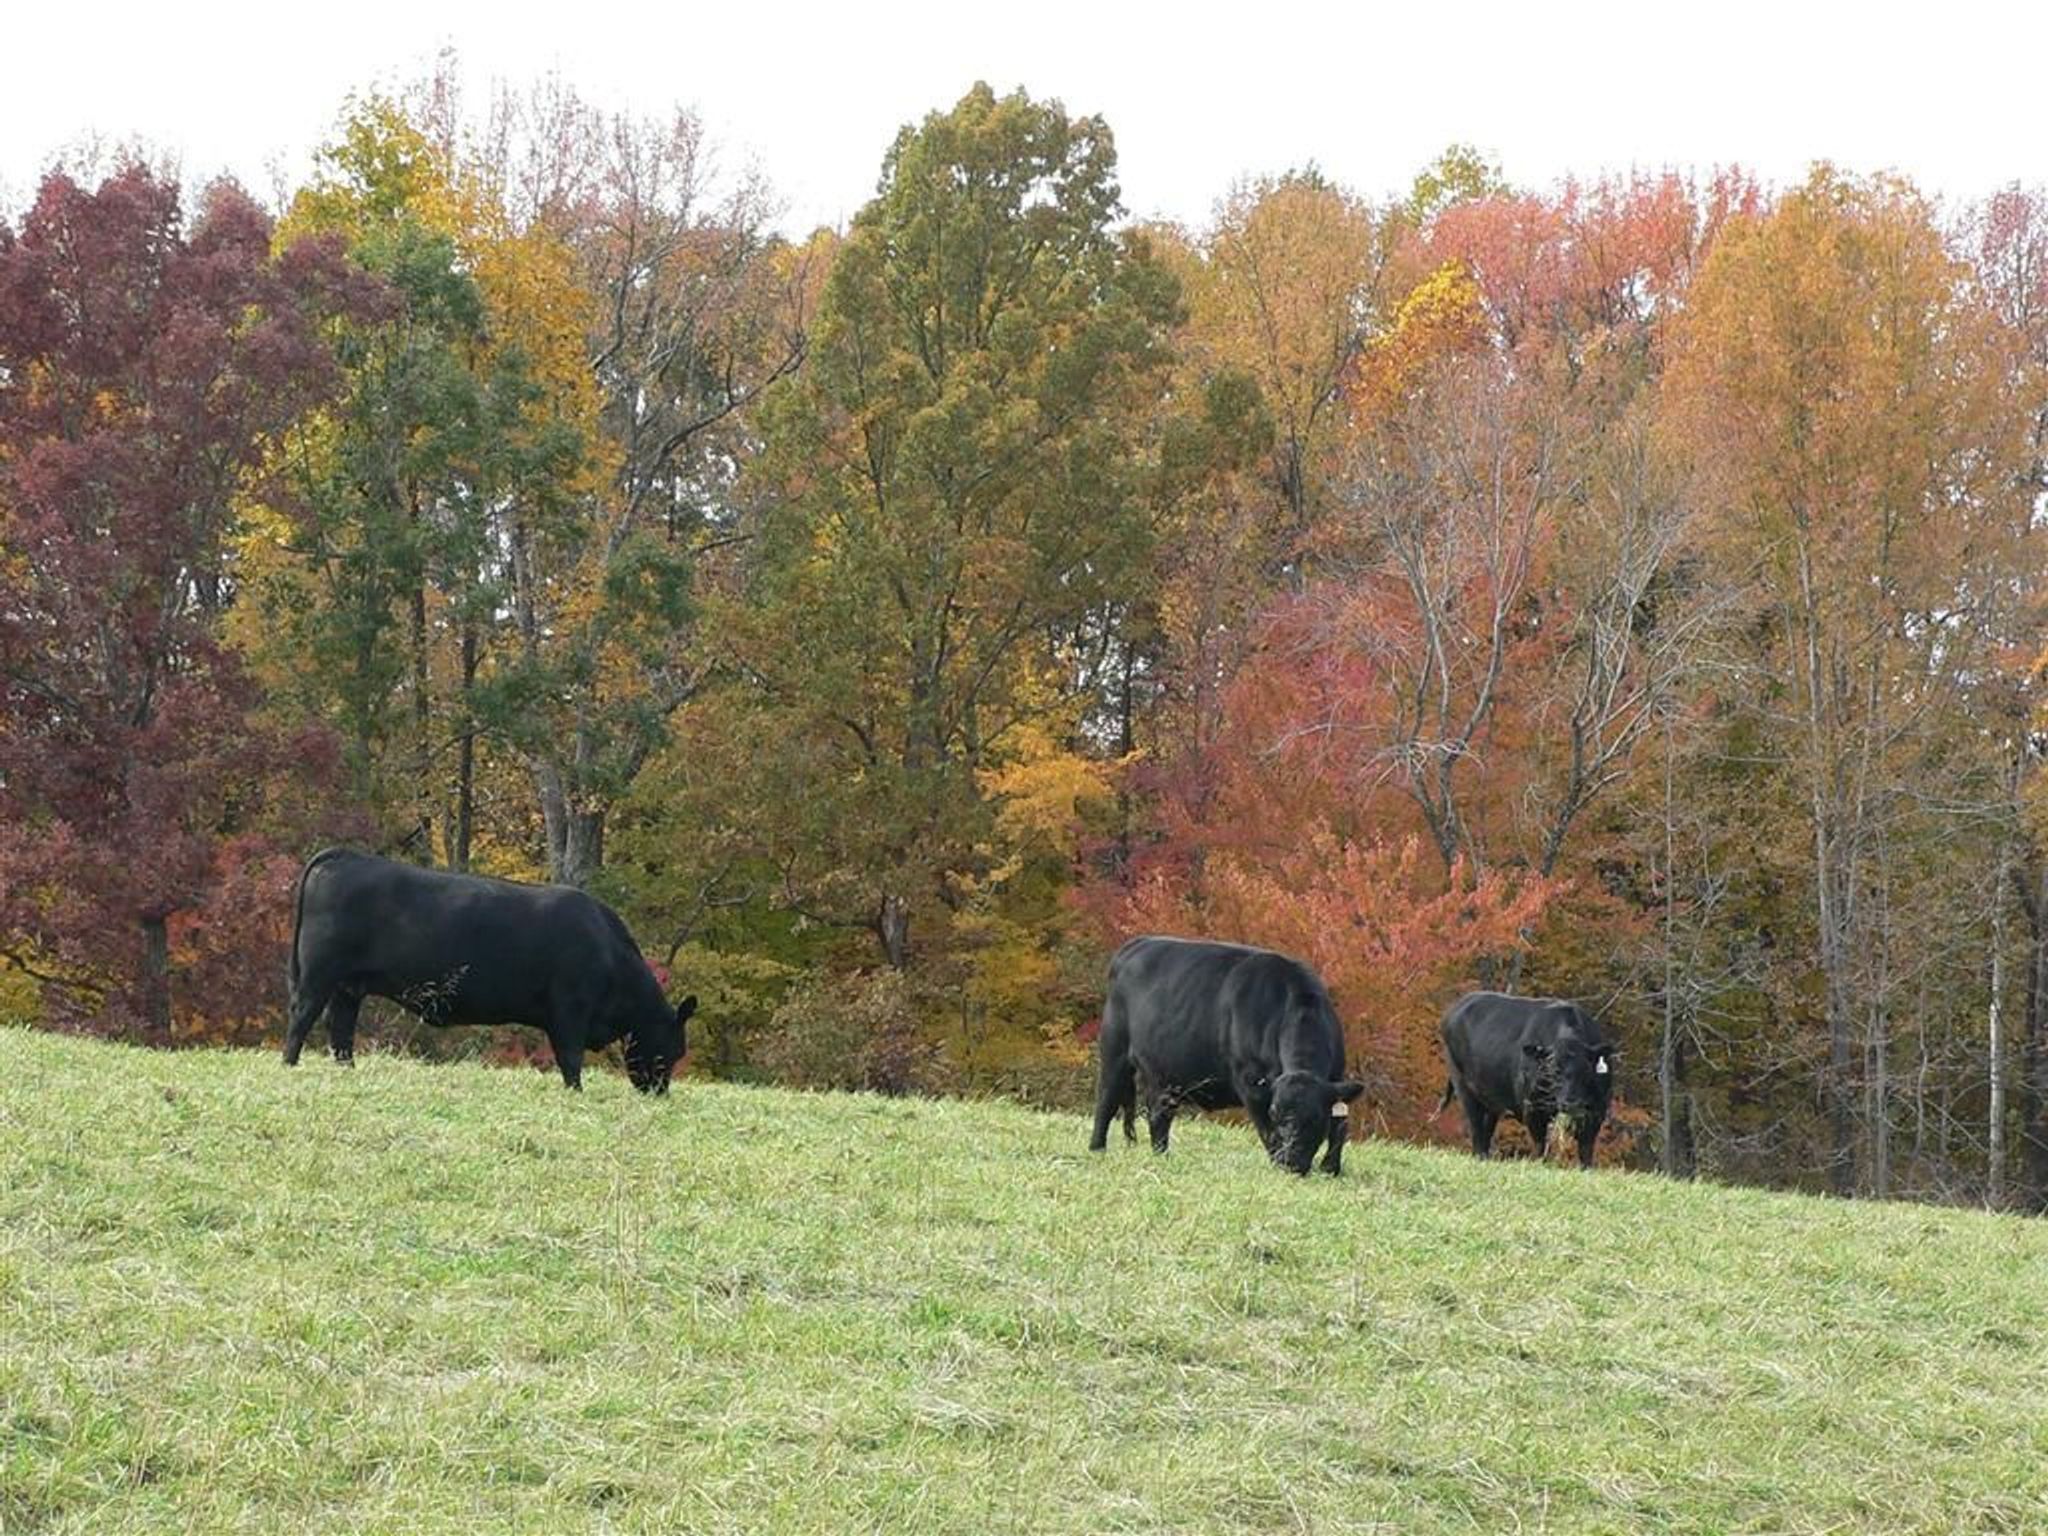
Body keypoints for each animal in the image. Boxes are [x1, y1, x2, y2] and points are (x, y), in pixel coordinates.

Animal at [280, 856, 700, 1097]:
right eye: (675, 1049)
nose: (659, 1093)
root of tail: (344, 855)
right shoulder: (570, 1009)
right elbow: (570, 1056)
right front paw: (575, 1093)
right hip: (319, 973)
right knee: (303, 1015)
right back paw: (289, 1065)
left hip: (348, 984)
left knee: (340, 1026)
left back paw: (346, 1069)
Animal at [1089, 937, 1359, 1179]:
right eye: (1274, 1112)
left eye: (1315, 1117)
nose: (1289, 1162)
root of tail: (1136, 944)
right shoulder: (1250, 1084)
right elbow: (1267, 1131)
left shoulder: (1336, 1077)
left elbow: (1340, 1126)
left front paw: (1331, 1169)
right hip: (1114, 1050)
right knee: (1106, 1099)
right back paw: (1097, 1150)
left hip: (1163, 1074)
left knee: (1158, 1114)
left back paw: (1161, 1156)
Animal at [1441, 999, 1613, 1163]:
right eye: (1552, 1070)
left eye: (1586, 1069)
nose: (1570, 1102)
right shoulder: (1532, 1108)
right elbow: (1540, 1146)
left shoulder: (1598, 1109)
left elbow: (1586, 1149)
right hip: (1463, 1086)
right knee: (1476, 1128)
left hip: (1490, 1098)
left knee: (1486, 1130)